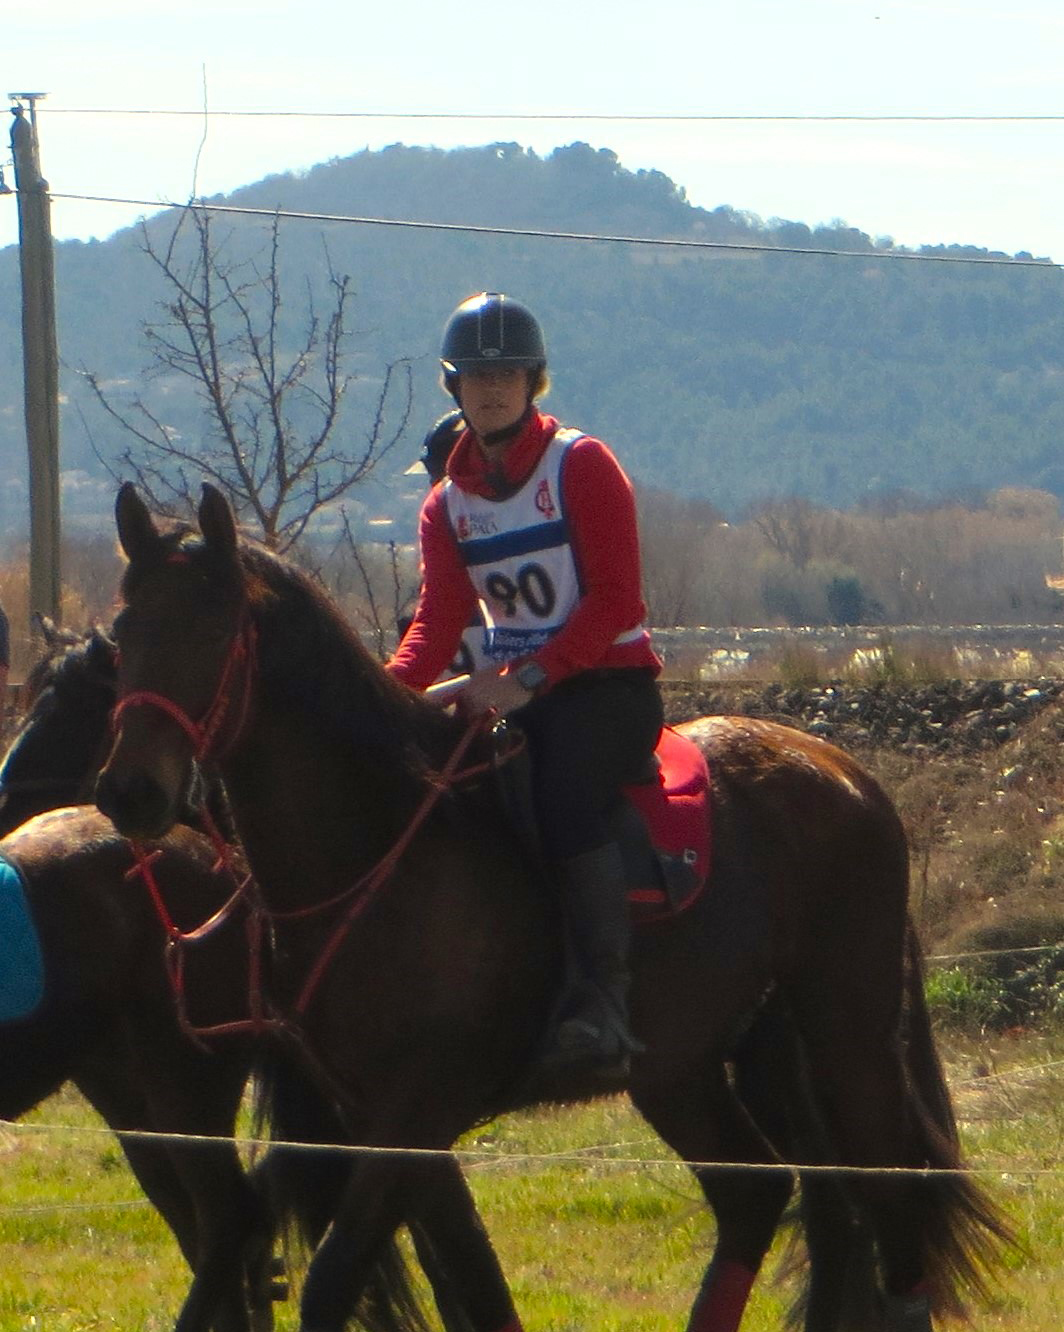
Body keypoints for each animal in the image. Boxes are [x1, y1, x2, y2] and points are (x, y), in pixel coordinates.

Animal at [95, 484, 1012, 1332]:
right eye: (121, 638)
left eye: (213, 634)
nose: (129, 791)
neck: (379, 845)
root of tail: (841, 769)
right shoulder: (386, 1123)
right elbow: (470, 1284)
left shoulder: (411, 1115)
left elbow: (336, 1284)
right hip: (685, 1065)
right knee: (765, 1197)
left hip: (845, 1041)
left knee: (889, 1202)